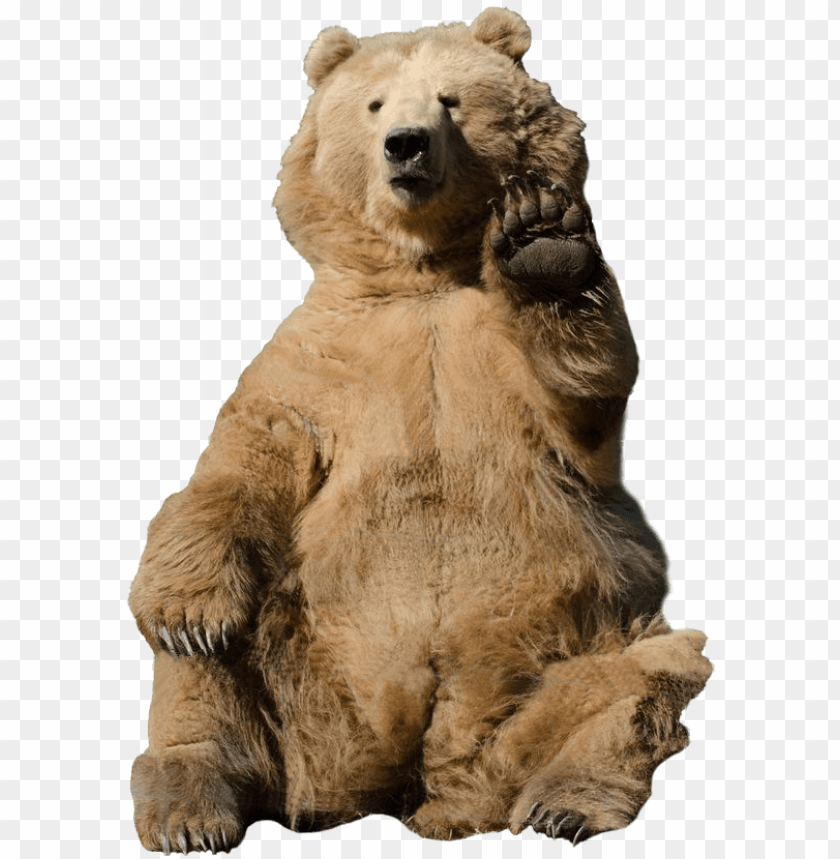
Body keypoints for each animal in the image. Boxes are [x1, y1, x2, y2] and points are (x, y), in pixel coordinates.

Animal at [129, 8, 712, 853]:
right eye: (374, 105)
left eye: (450, 99)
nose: (404, 144)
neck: (424, 271)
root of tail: (415, 785)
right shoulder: (321, 361)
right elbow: (244, 460)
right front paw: (187, 614)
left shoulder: (502, 358)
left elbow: (585, 394)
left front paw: (544, 241)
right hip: (304, 674)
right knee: (211, 662)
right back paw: (192, 800)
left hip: (572, 646)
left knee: (644, 673)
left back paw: (563, 801)